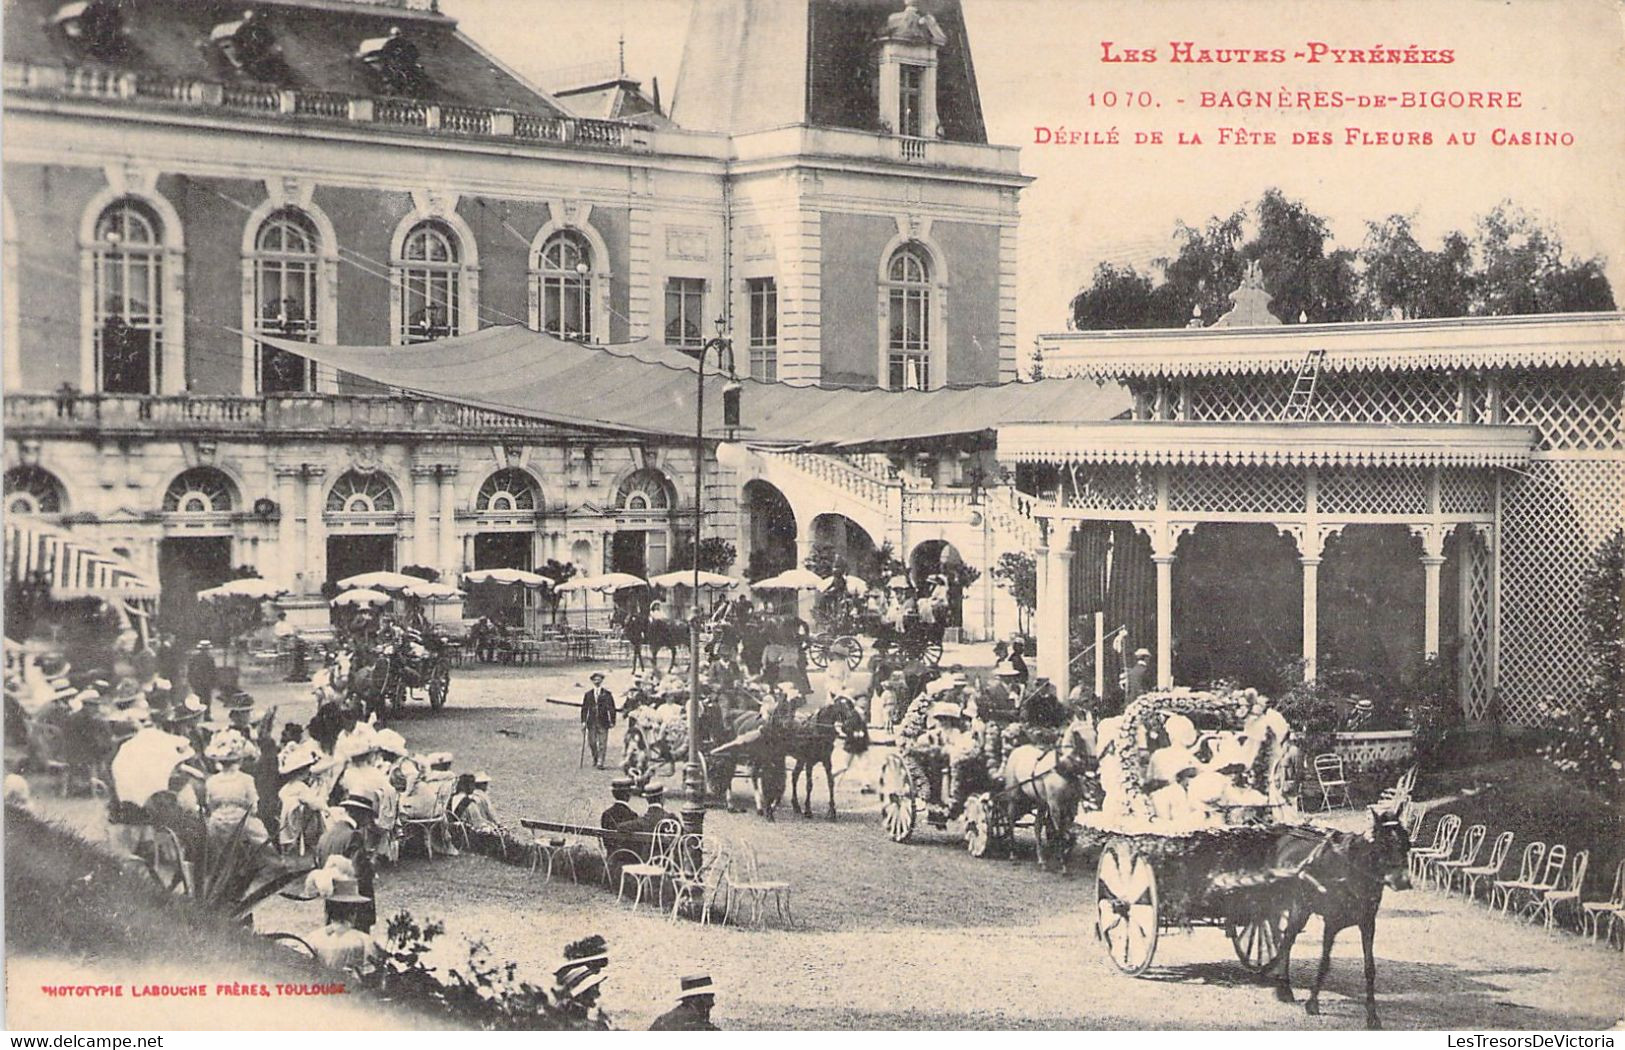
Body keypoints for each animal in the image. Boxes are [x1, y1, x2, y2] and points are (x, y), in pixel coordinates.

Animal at [994, 715, 1098, 871]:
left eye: (1095, 735)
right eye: (1078, 735)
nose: (1094, 764)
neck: (1062, 769)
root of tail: (1018, 748)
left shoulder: (1071, 806)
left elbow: (1066, 831)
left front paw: (1064, 852)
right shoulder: (1054, 805)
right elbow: (1059, 832)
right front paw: (1063, 863)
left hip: (1040, 802)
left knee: (1037, 826)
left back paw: (1041, 859)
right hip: (1014, 796)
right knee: (1011, 821)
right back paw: (1013, 853)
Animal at [1254, 802, 1410, 1033]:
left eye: (1407, 842)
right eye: (1382, 844)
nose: (1402, 882)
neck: (1353, 872)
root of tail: (1283, 837)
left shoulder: (1367, 923)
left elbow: (1369, 968)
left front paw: (1373, 1017)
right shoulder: (1332, 922)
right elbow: (1325, 962)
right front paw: (1312, 1003)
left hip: (1298, 908)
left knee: (1282, 938)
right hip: (1298, 909)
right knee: (1286, 941)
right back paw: (1281, 985)